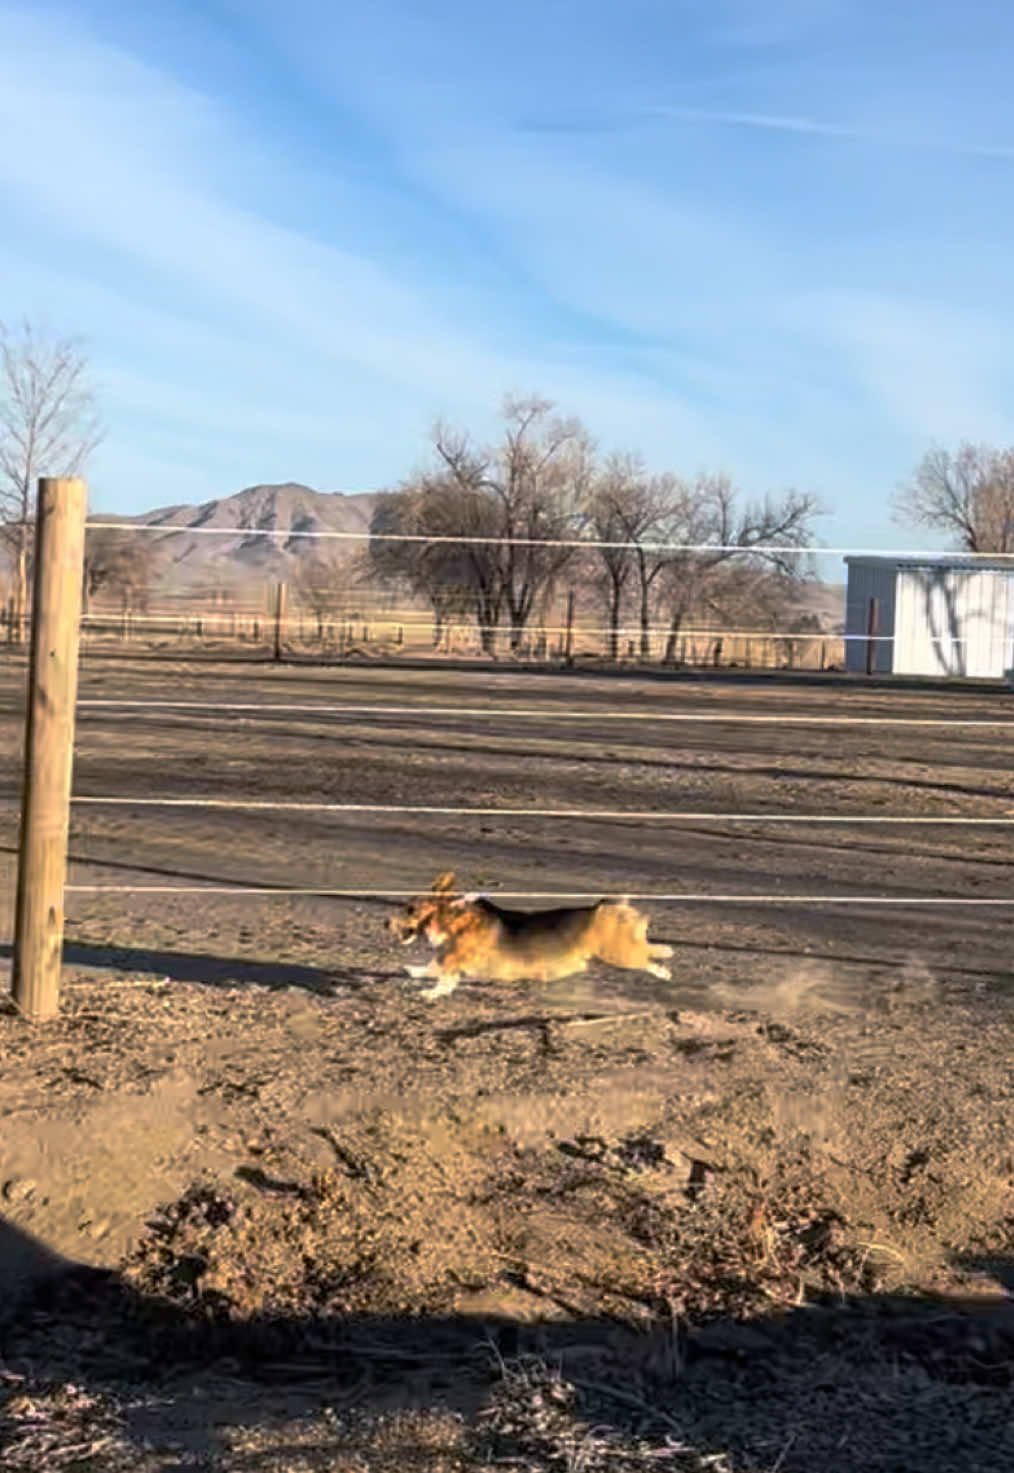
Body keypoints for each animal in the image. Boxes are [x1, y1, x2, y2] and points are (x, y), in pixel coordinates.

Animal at [389, 872, 672, 1001]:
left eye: (410, 909)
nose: (385, 922)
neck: (452, 917)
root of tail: (603, 908)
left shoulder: (454, 959)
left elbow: (441, 976)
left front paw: (429, 992)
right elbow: (432, 970)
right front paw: (413, 972)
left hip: (616, 953)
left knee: (644, 957)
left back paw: (664, 970)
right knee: (647, 946)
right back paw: (667, 952)